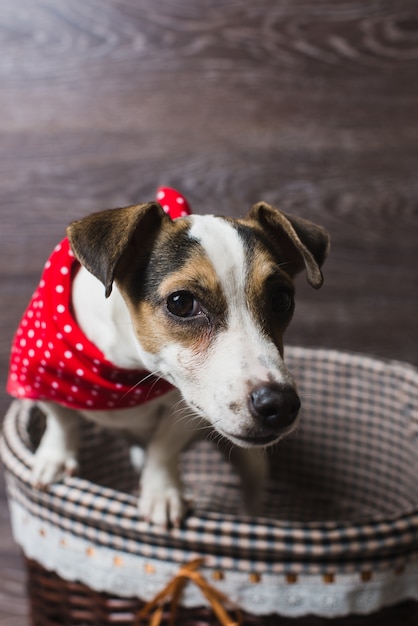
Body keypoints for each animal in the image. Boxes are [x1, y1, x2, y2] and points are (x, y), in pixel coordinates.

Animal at [6, 188, 330, 524]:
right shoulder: (40, 376)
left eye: (282, 299)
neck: (128, 366)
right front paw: (55, 457)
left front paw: (161, 492)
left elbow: (163, 448)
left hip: (252, 461)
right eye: (181, 303)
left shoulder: (184, 411)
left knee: (252, 492)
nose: (280, 404)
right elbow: (61, 419)